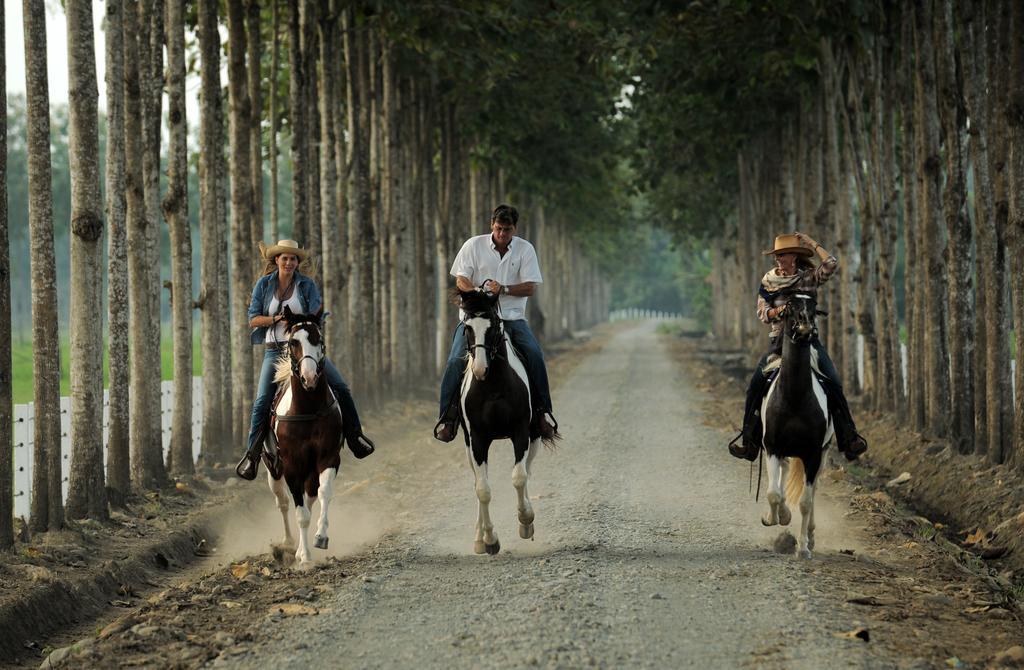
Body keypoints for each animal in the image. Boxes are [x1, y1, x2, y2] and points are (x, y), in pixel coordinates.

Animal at [264, 307, 344, 565]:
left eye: (319, 339)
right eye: (293, 342)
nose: (309, 377)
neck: (307, 409)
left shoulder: (329, 457)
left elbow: (324, 493)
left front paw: (320, 537)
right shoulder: (291, 466)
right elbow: (300, 513)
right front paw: (306, 559)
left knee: (310, 497)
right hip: (273, 469)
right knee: (283, 502)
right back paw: (289, 544)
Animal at [458, 288, 548, 557]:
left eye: (495, 325)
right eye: (467, 327)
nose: (480, 369)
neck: (493, 387)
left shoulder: (521, 432)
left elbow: (519, 476)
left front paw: (526, 521)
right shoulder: (477, 439)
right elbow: (483, 489)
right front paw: (488, 539)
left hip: (534, 437)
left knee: (527, 470)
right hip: (469, 447)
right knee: (479, 482)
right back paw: (479, 537)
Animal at [761, 290, 831, 557]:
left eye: (813, 307)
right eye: (789, 307)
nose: (805, 329)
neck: (795, 398)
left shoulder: (813, 453)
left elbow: (806, 501)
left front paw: (803, 548)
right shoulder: (772, 447)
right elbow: (773, 493)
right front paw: (774, 517)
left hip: (822, 454)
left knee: (813, 488)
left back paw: (810, 536)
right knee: (783, 475)